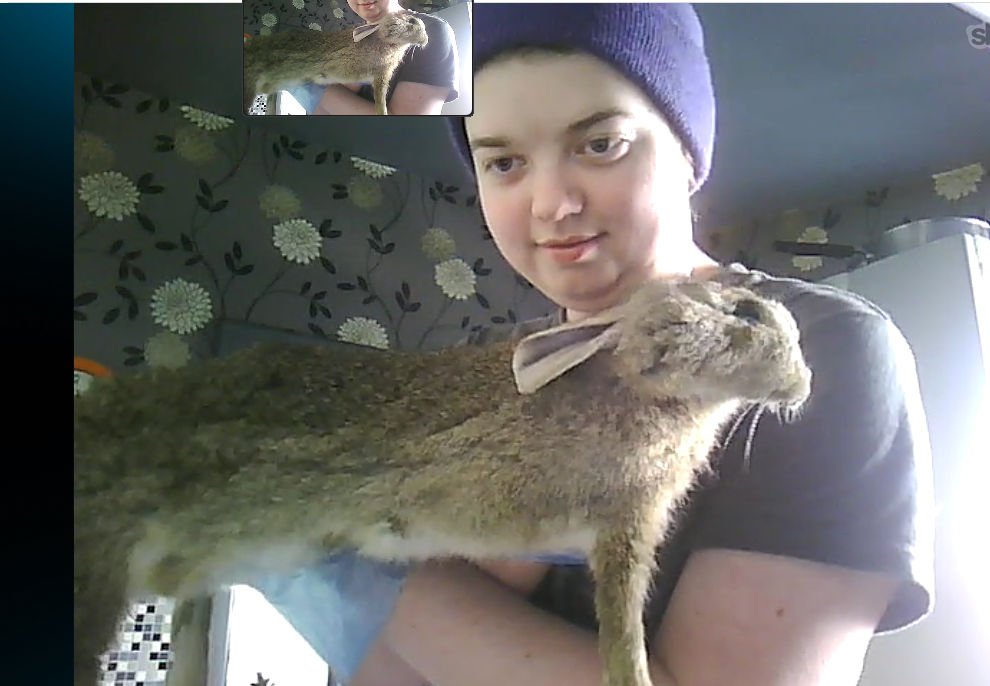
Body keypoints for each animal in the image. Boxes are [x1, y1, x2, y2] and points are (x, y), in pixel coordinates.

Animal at [73, 269, 812, 686]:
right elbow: (621, 625)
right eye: (745, 314)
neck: (643, 388)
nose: (805, 385)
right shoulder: (624, 529)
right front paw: (630, 677)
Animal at [243, 11, 429, 115]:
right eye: (412, 21)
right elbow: (380, 97)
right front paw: (382, 113)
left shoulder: (381, 75)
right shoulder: (380, 76)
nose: (426, 40)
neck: (385, 42)